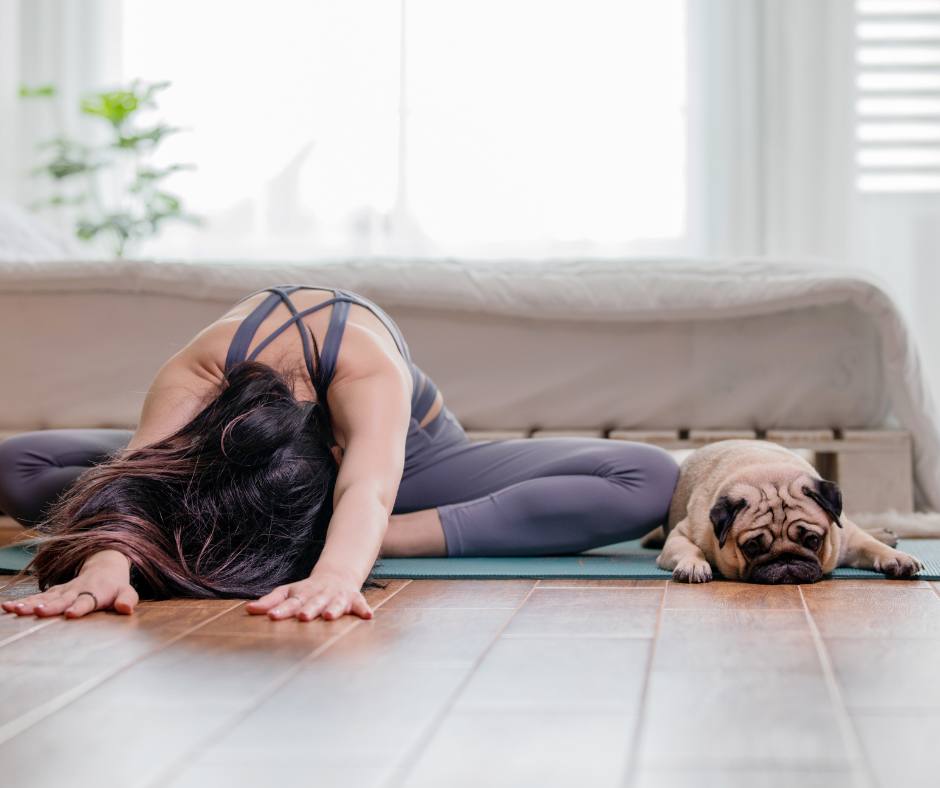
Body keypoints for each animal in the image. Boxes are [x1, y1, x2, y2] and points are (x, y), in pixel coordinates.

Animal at [656, 438, 920, 584]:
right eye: (752, 548)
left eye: (813, 541)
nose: (785, 558)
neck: (767, 472)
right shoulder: (681, 535)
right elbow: (690, 549)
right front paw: (693, 564)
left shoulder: (845, 537)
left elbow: (869, 544)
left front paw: (896, 557)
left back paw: (885, 534)